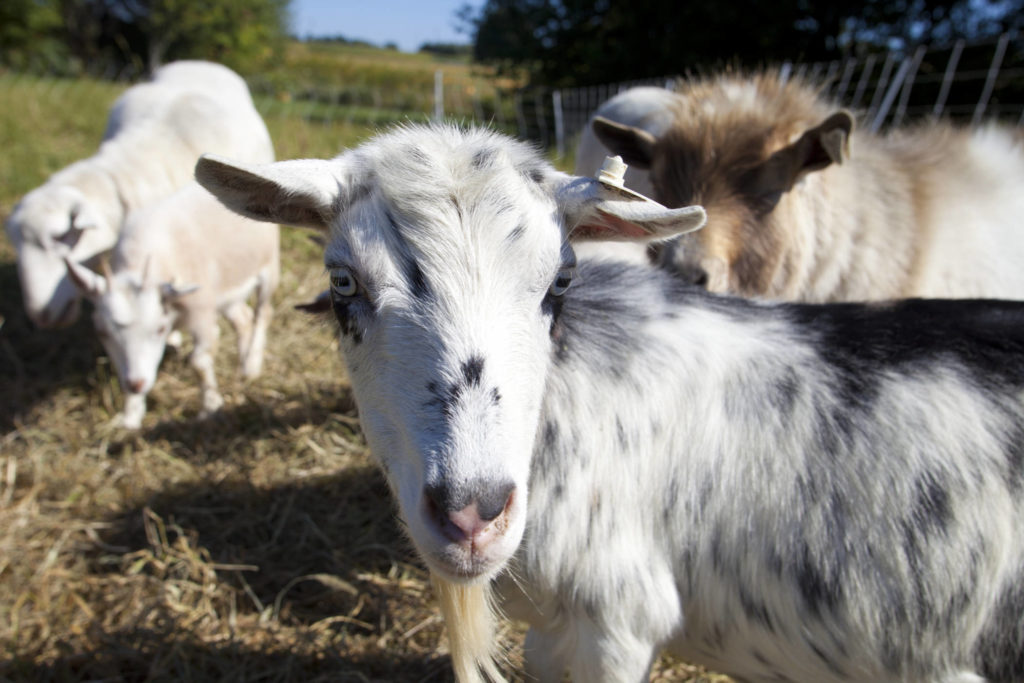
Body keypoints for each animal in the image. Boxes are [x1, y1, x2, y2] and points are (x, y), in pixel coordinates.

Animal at [66, 181, 278, 428]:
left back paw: (252, 364)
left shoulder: (202, 313)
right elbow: (124, 368)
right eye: (103, 333)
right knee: (243, 319)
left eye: (159, 329)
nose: (136, 384)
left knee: (263, 313)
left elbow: (198, 362)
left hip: (269, 268)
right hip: (228, 289)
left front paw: (210, 407)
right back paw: (244, 367)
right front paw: (129, 418)